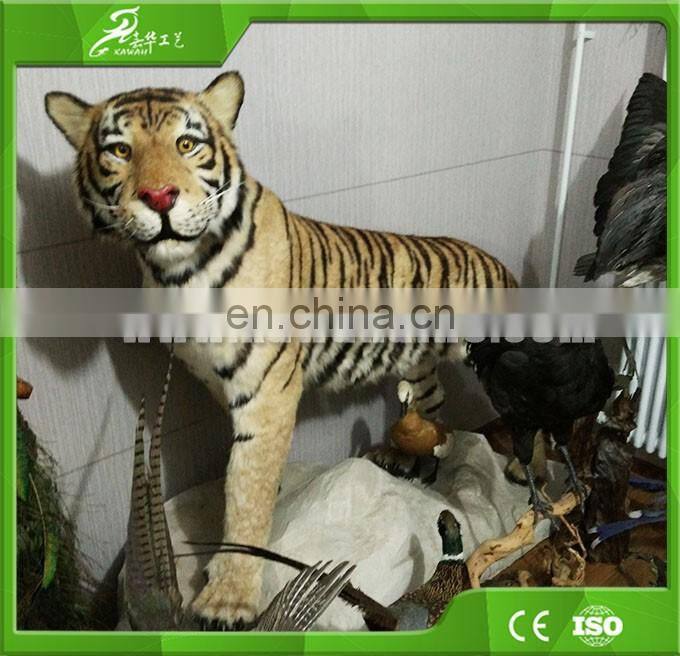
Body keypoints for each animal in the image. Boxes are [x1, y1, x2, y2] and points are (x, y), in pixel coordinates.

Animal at [45, 71, 518, 627]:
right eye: (120, 150)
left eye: (187, 144)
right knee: (432, 408)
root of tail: (496, 262)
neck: (177, 273)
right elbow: (245, 475)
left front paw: (230, 597)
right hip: (421, 369)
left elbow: (246, 484)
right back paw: (414, 465)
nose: (159, 196)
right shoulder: (220, 384)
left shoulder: (267, 393)